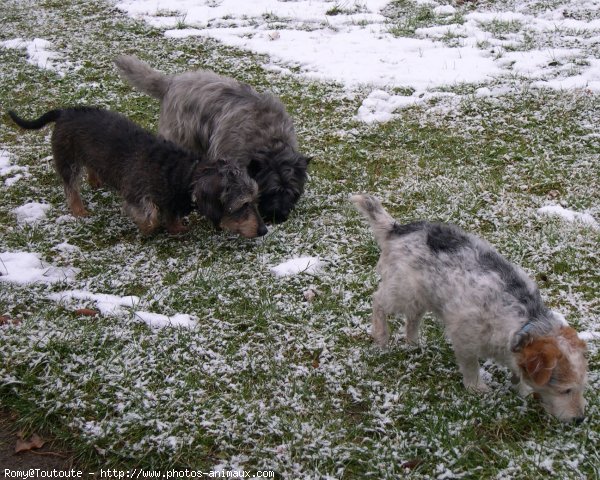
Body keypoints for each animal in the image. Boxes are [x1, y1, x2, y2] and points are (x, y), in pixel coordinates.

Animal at [8, 107, 266, 238]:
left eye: (255, 200)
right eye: (242, 204)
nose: (264, 230)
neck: (182, 174)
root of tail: (66, 110)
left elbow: (170, 212)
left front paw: (175, 227)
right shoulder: (135, 192)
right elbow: (150, 214)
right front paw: (148, 228)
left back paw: (95, 180)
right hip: (67, 158)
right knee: (70, 187)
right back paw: (79, 210)